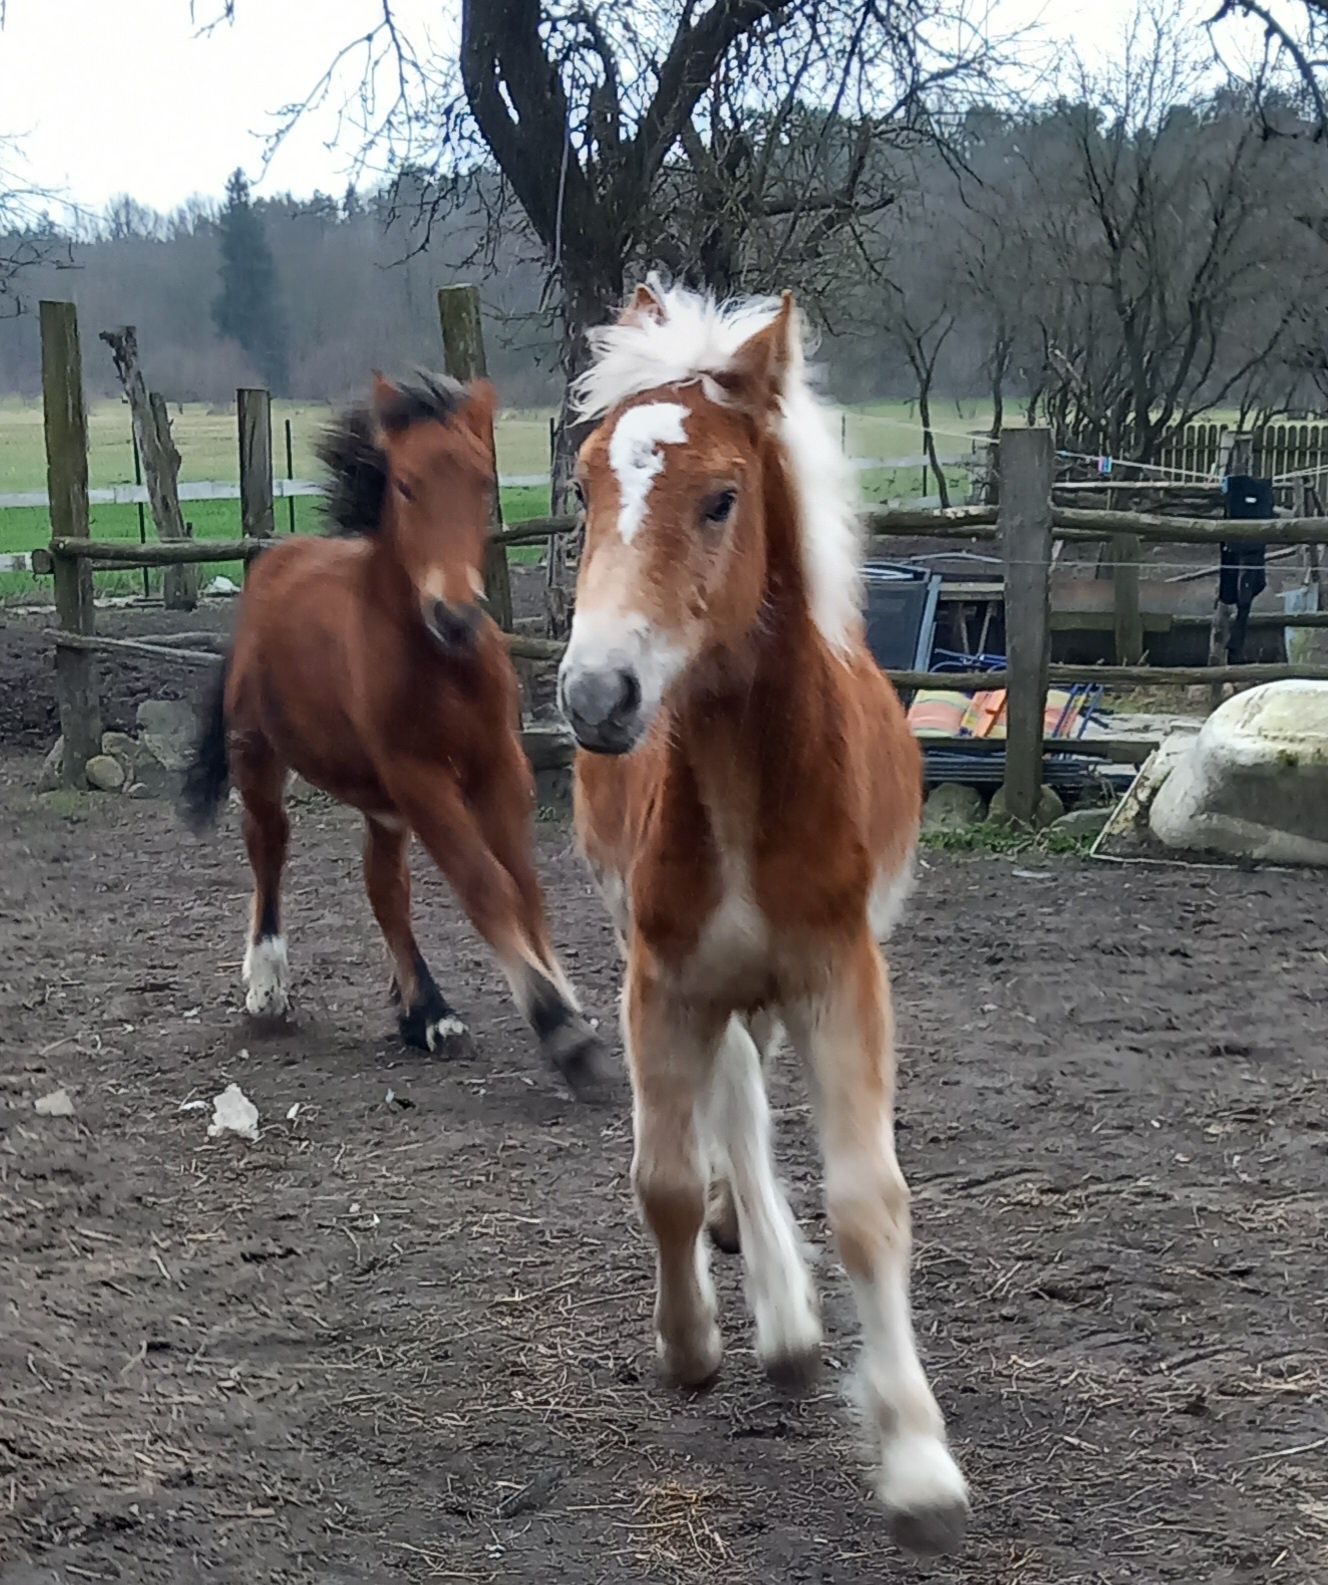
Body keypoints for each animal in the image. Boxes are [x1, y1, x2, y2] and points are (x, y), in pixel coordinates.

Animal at [180, 372, 602, 1096]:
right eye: (404, 485)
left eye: (483, 482)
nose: (455, 615)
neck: (442, 664)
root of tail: (272, 564)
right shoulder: (420, 775)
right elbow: (483, 883)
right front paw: (560, 1028)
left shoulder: (498, 764)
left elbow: (522, 885)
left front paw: (567, 1005)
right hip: (260, 755)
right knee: (269, 847)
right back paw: (268, 984)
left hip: (380, 801)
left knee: (384, 886)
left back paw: (426, 1015)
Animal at [557, 282, 969, 1546]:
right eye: (582, 488)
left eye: (720, 497)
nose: (595, 696)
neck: (744, 785)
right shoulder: (656, 976)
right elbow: (663, 1179)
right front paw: (688, 1343)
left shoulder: (840, 974)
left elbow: (868, 1201)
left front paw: (917, 1463)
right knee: (730, 1106)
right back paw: (775, 1315)